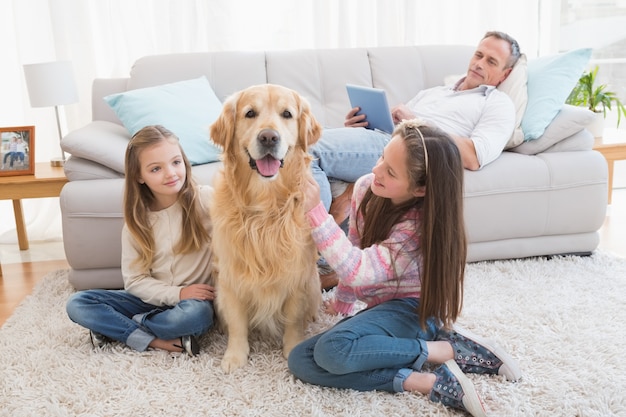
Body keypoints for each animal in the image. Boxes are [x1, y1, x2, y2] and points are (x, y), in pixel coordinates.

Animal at [210, 83, 324, 372]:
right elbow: (237, 322)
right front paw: (235, 356)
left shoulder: (297, 274)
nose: (269, 138)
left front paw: (292, 348)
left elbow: (293, 319)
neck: (265, 207)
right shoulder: (232, 274)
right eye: (250, 113)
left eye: (287, 114)